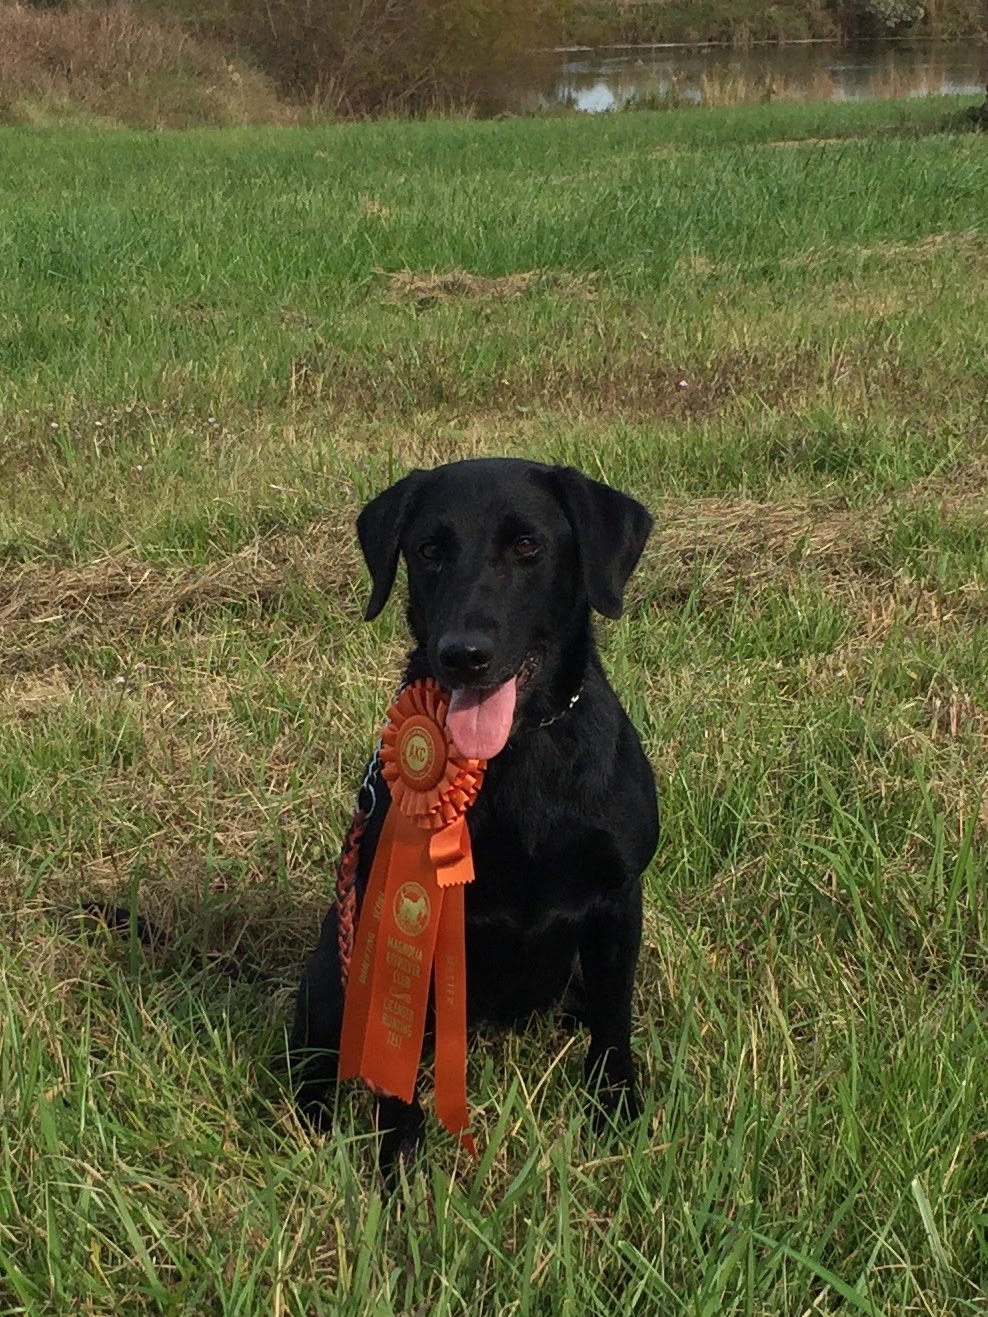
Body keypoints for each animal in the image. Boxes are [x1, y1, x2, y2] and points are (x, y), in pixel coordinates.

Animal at [289, 460, 661, 1174]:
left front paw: (616, 1116)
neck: (517, 754)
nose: (463, 653)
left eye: (527, 546)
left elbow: (613, 1023)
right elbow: (398, 1077)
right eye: (430, 550)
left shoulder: (617, 902)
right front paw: (398, 1173)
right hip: (331, 967)